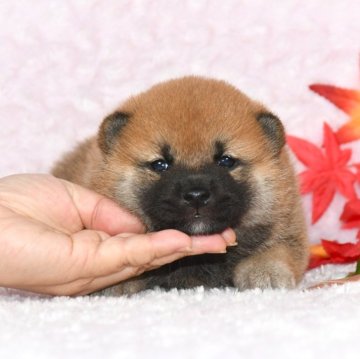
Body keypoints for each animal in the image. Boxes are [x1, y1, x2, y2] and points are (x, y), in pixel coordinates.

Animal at [52, 76, 310, 296]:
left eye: (226, 161)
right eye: (160, 164)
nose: (196, 195)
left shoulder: (286, 227)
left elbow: (275, 251)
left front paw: (266, 272)